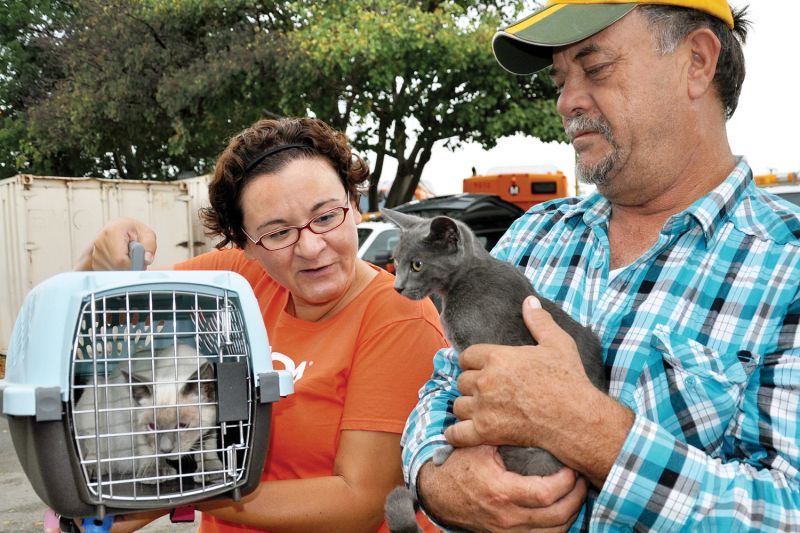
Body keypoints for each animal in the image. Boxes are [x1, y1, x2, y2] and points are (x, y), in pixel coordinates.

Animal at [382, 208, 608, 532]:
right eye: (396, 260)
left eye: (417, 264)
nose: (397, 286)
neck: (463, 280)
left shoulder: (480, 354)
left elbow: (468, 416)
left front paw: (450, 447)